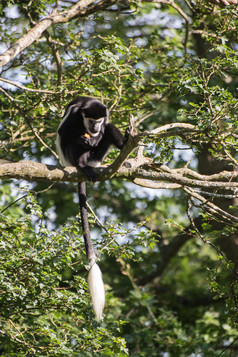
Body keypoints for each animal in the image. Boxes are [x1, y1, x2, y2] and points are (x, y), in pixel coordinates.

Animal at [55, 95, 127, 320]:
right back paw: (83, 165)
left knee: (109, 131)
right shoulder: (75, 115)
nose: (95, 127)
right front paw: (83, 138)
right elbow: (64, 132)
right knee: (71, 142)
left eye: (98, 120)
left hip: (98, 155)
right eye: (91, 120)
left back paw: (122, 144)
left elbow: (108, 126)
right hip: (73, 157)